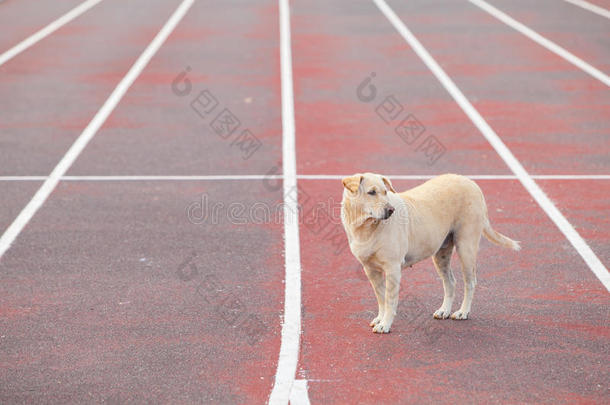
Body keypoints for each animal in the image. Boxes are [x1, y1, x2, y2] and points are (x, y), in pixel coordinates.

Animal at [338, 172, 516, 332]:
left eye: (385, 192)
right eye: (371, 192)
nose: (391, 210)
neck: (365, 227)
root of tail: (471, 182)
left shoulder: (392, 268)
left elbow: (389, 300)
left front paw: (385, 325)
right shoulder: (370, 269)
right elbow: (380, 298)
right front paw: (380, 319)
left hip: (466, 248)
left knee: (470, 282)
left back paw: (463, 312)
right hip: (441, 255)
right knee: (450, 282)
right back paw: (444, 311)